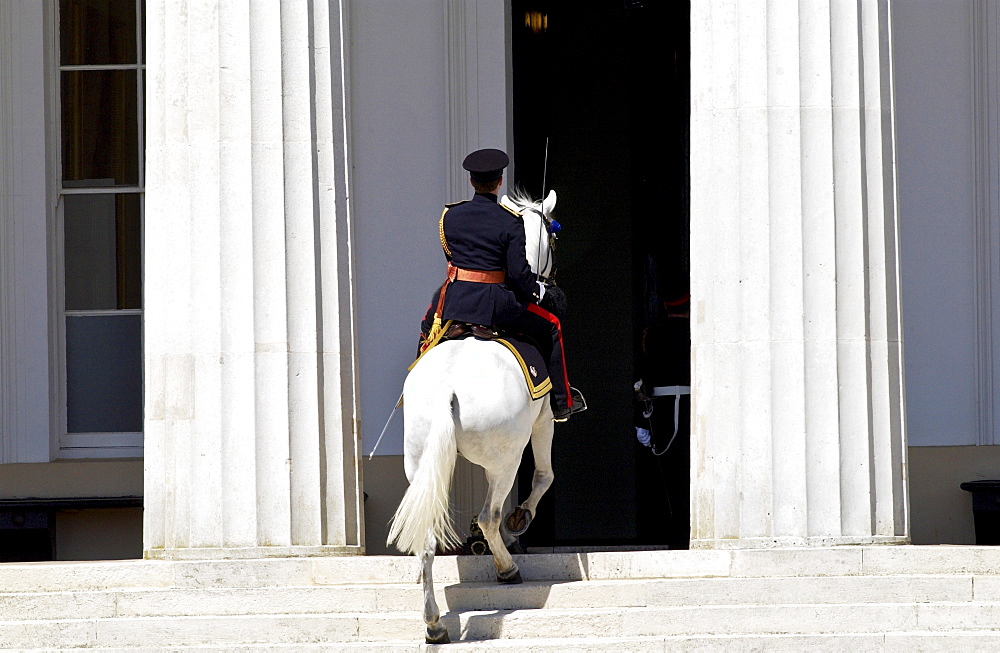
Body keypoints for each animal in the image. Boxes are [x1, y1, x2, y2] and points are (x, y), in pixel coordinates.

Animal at [388, 187, 564, 640]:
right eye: (554, 239)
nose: (550, 285)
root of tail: (448, 386)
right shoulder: (542, 420)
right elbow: (544, 475)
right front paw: (522, 517)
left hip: (420, 461)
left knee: (427, 539)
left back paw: (434, 624)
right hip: (503, 460)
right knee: (488, 516)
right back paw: (507, 567)